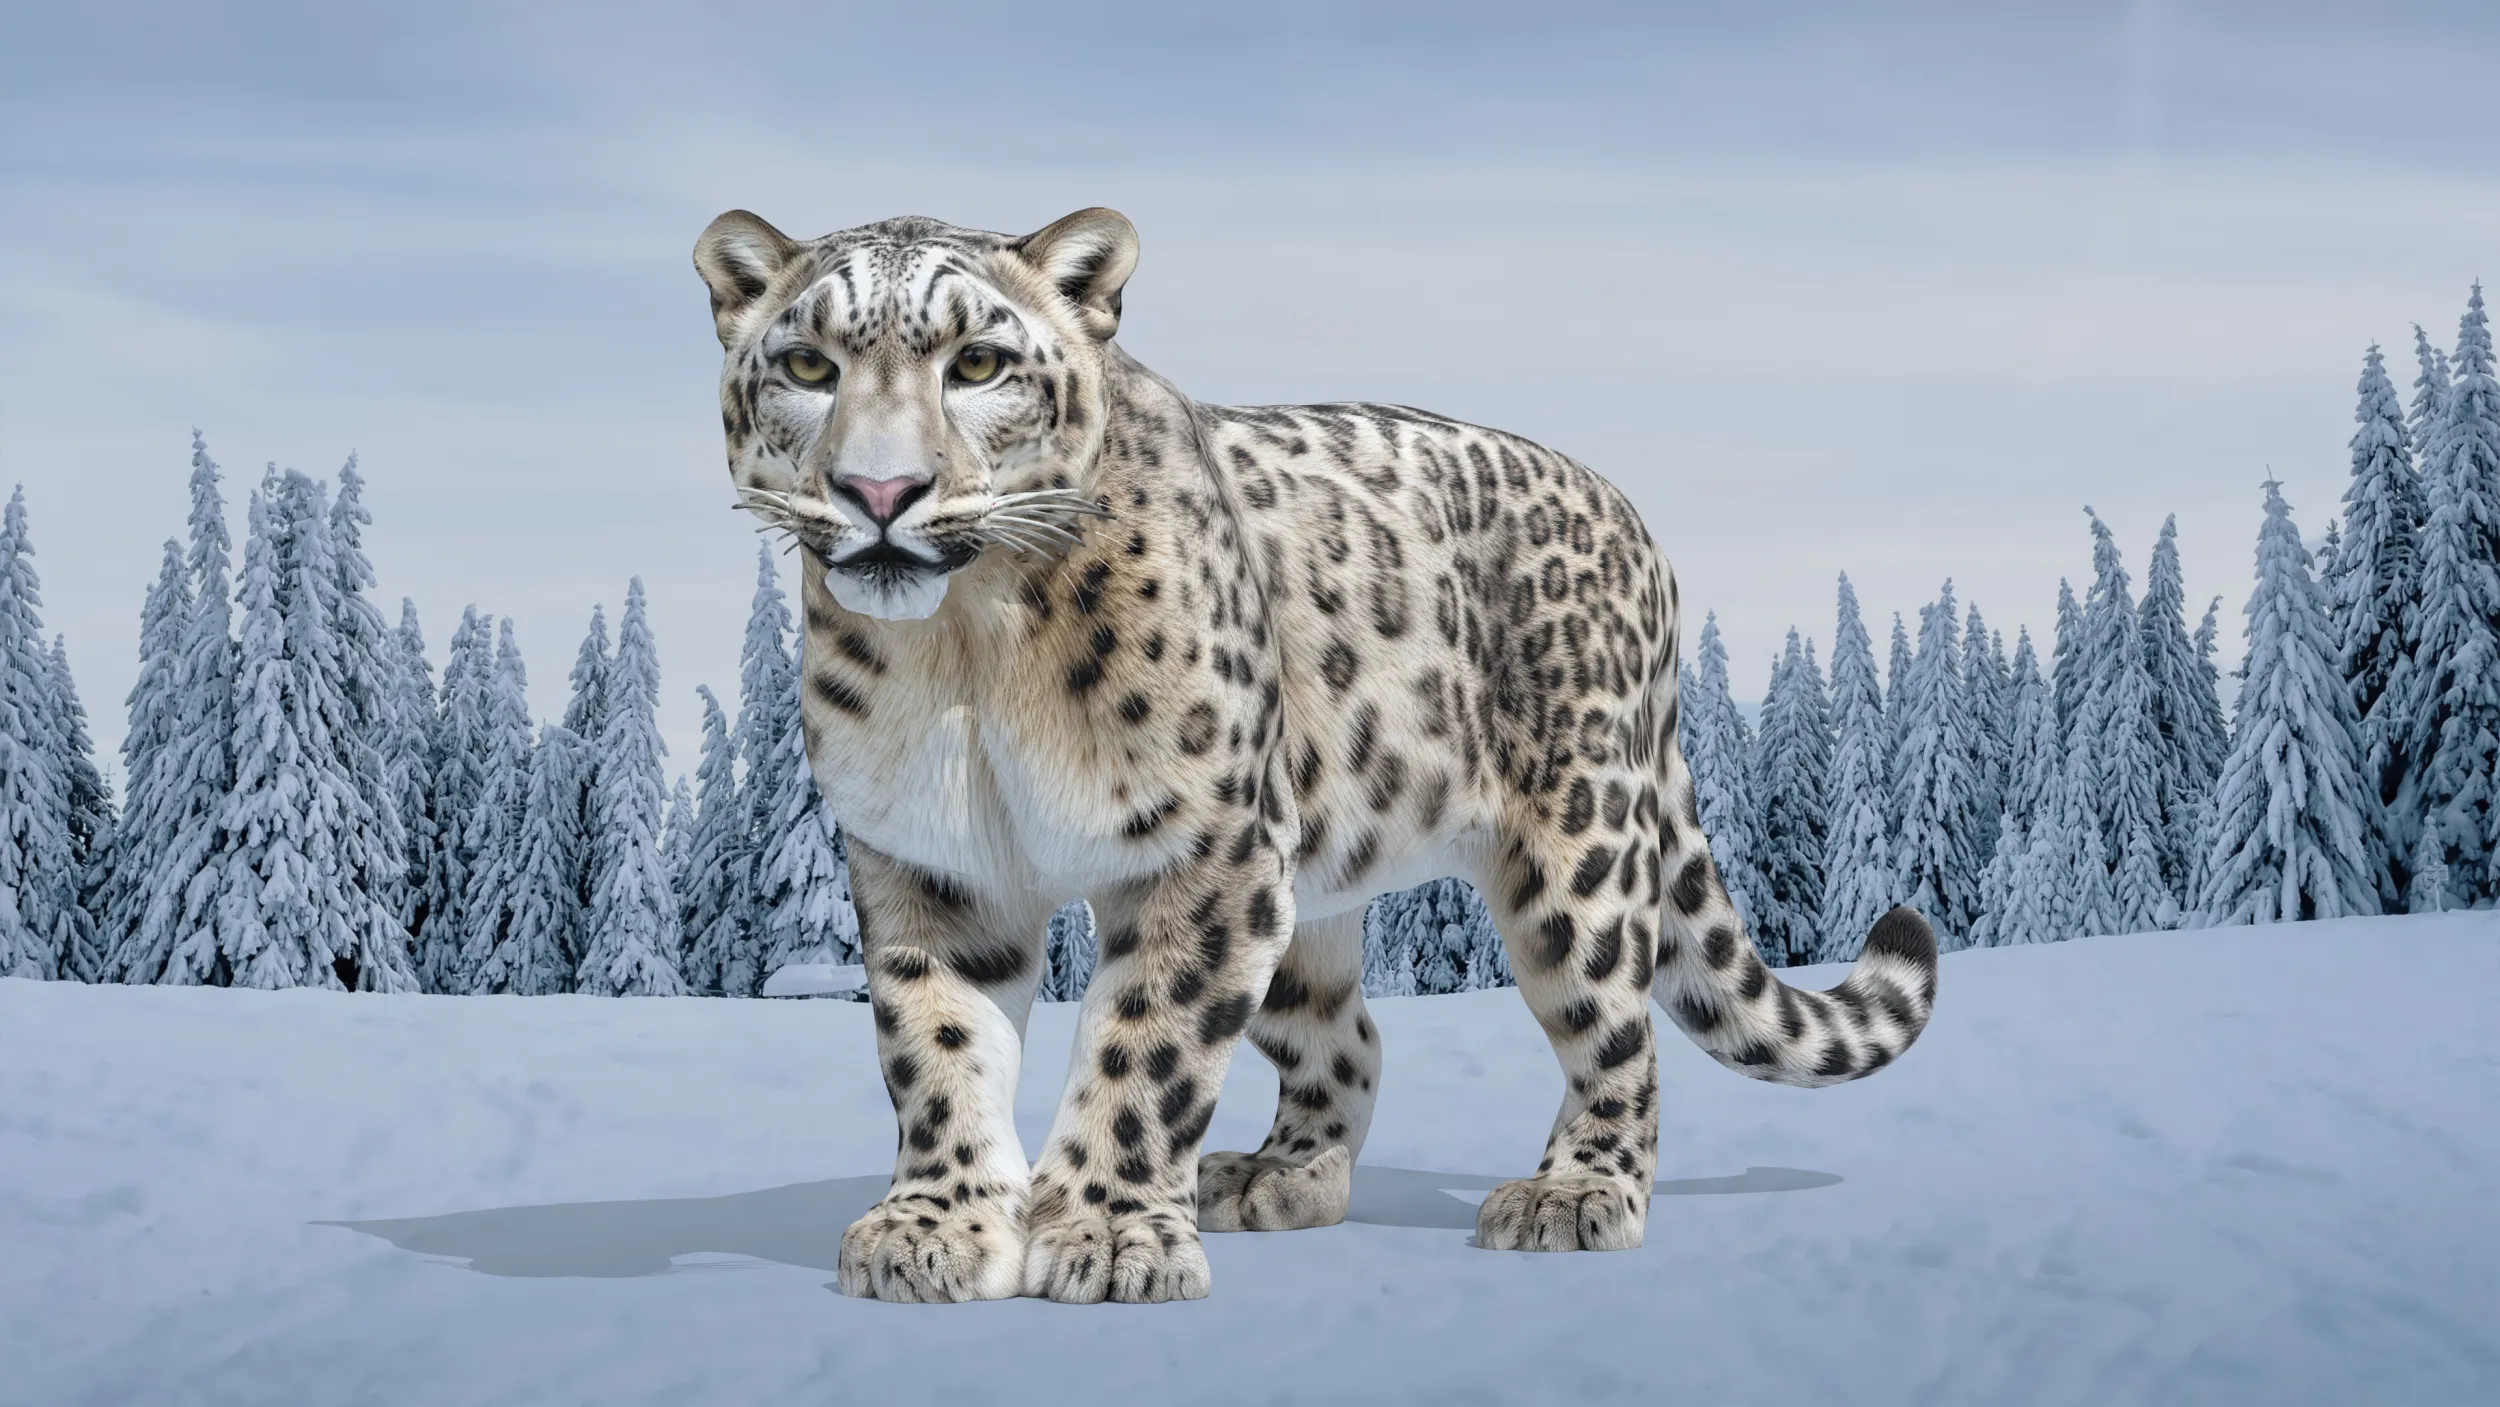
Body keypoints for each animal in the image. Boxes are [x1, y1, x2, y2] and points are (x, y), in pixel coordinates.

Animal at [691, 205, 1939, 1305]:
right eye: (806, 364)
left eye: (980, 362)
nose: (879, 491)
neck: (966, 649)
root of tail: (1635, 523)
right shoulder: (930, 860)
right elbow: (937, 1047)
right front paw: (936, 1229)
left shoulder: (1204, 852)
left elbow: (1145, 1048)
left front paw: (1103, 1233)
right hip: (1307, 895)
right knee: (1352, 1037)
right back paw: (1276, 1175)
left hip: (1574, 847)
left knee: (1615, 1033)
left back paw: (1573, 1196)